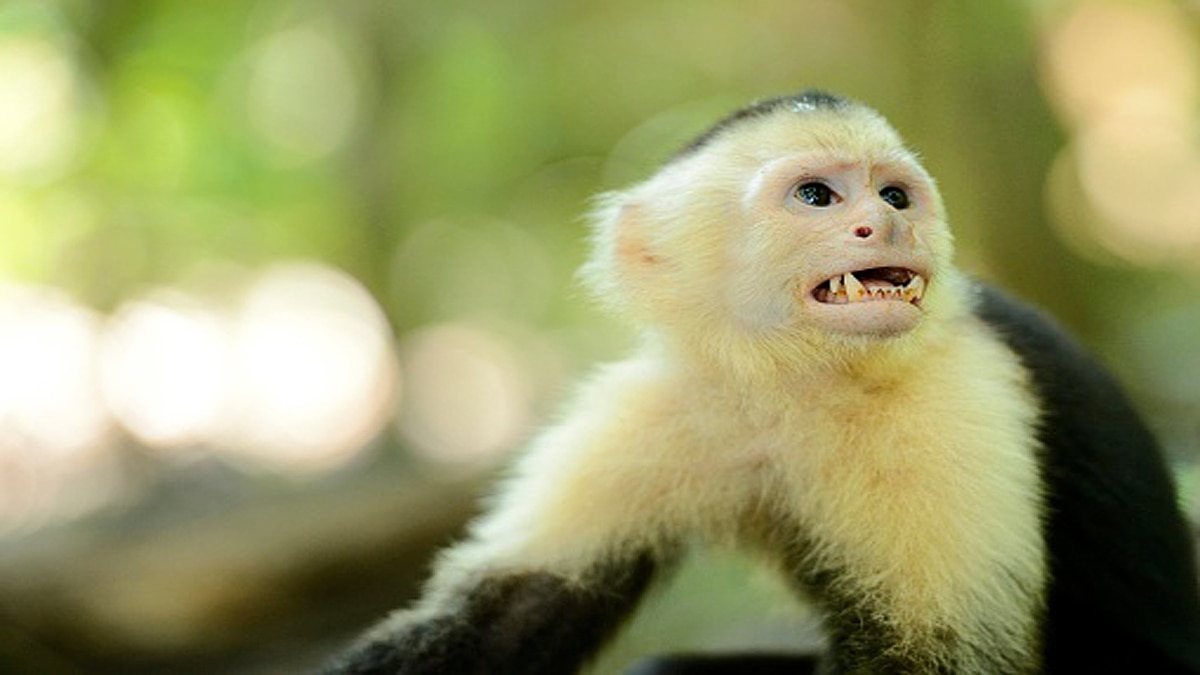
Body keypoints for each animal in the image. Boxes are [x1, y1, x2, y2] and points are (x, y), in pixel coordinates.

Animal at [322, 91, 1200, 674]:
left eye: (894, 193)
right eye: (817, 195)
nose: (886, 222)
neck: (794, 383)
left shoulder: (953, 396)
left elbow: (932, 657)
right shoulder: (667, 403)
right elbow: (508, 614)